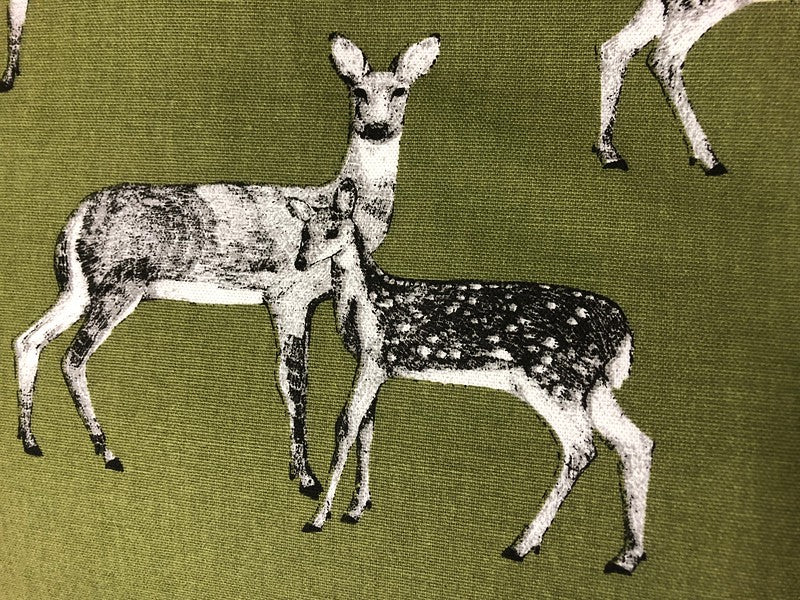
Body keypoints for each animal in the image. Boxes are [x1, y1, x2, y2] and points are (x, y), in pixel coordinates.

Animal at [12, 34, 441, 501]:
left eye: (400, 90)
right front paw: (307, 478)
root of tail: (73, 221)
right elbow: (294, 381)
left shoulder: (302, 301)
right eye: (357, 90)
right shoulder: (287, 293)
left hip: (78, 288)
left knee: (28, 340)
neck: (336, 208)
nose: (377, 128)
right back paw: (106, 451)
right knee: (72, 358)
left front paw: (297, 472)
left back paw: (31, 441)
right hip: (117, 285)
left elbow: (292, 381)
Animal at [291, 179, 654, 575]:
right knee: (636, 442)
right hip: (591, 386)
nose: (299, 262)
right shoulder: (379, 366)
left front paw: (319, 516)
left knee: (582, 448)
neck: (365, 301)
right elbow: (366, 429)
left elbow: (345, 425)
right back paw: (627, 556)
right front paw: (356, 507)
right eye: (303, 231)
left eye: (331, 230)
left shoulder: (373, 358)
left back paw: (522, 544)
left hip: (553, 379)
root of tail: (621, 332)